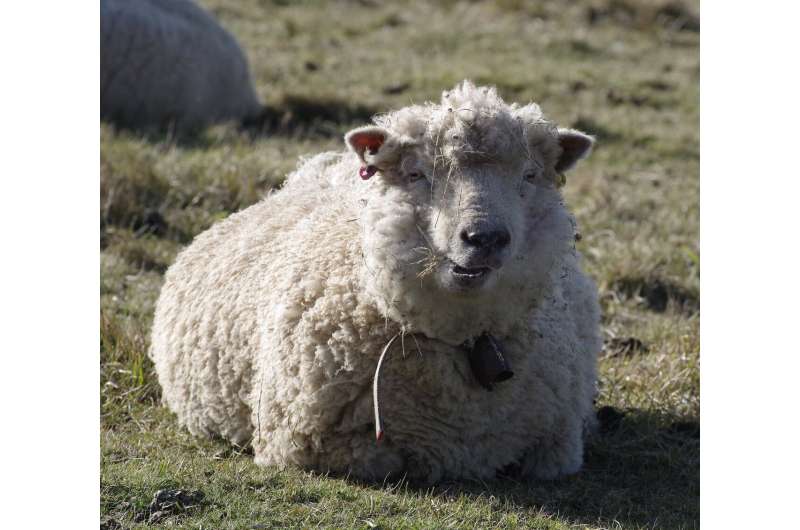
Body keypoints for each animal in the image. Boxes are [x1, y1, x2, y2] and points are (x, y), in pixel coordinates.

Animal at [148, 80, 600, 480]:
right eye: (416, 174)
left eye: (529, 176)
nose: (485, 238)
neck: (469, 337)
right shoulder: (312, 444)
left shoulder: (558, 445)